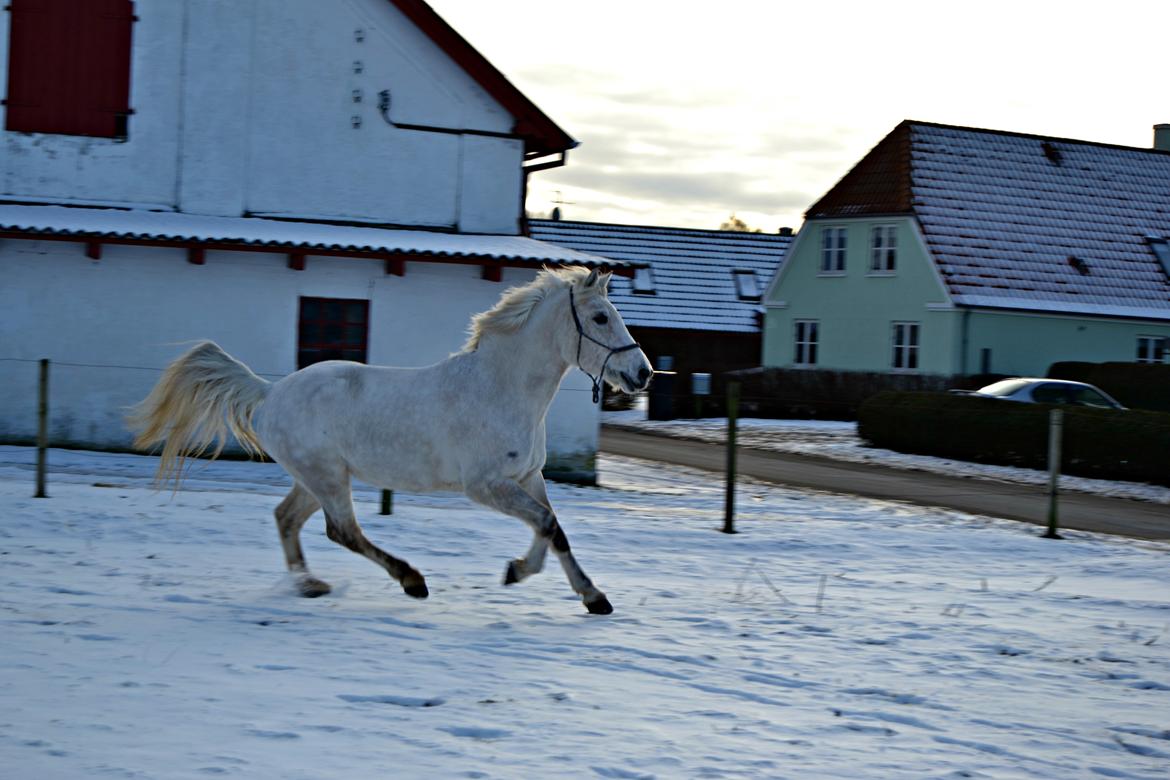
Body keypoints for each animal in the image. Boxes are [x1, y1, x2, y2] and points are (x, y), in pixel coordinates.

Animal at [134, 268, 659, 617]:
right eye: (600, 318)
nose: (643, 374)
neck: (500, 387)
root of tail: (270, 392)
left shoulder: (527, 476)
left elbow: (554, 529)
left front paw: (578, 591)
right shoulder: (485, 485)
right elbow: (547, 525)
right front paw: (546, 581)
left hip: (315, 478)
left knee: (287, 519)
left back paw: (310, 585)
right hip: (328, 477)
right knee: (342, 531)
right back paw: (411, 581)